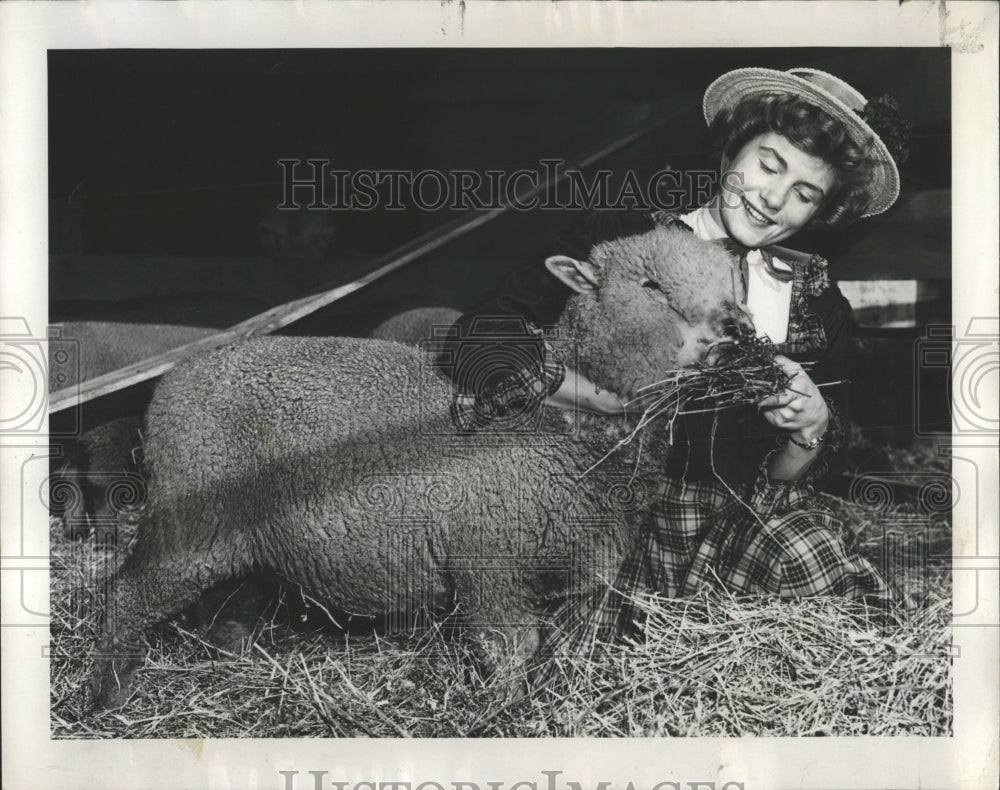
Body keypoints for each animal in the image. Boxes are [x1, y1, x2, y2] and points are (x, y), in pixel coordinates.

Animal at [90, 226, 740, 708]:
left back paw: (232, 667)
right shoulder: (488, 561)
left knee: (227, 606)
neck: (567, 434)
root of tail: (173, 380)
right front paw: (502, 715)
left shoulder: (567, 569)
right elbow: (510, 648)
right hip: (189, 521)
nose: (732, 330)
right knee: (127, 594)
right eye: (650, 284)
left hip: (242, 536)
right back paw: (108, 697)